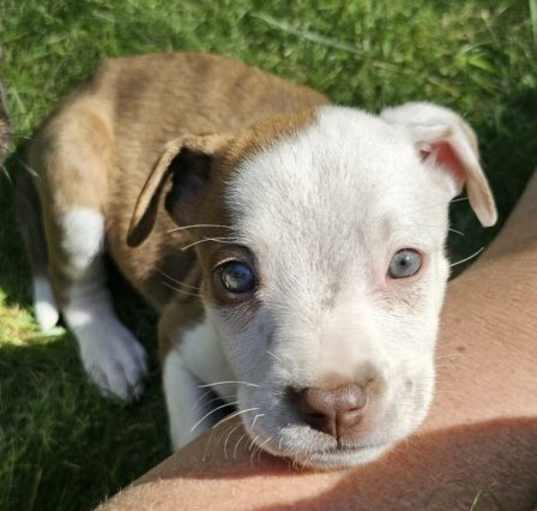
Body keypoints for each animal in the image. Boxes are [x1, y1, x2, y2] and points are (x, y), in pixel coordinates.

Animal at [15, 53, 494, 468]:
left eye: (405, 264)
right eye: (235, 277)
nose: (334, 404)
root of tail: (100, 75)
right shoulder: (178, 332)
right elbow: (189, 432)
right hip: (75, 191)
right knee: (76, 286)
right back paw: (110, 352)